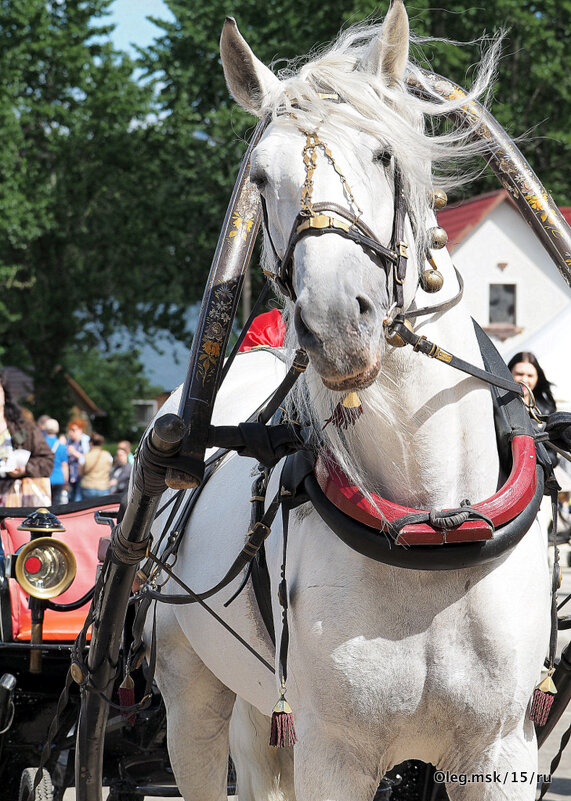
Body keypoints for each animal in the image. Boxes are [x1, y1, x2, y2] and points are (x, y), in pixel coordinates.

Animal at [145, 3, 552, 796]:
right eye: (259, 175)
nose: (335, 321)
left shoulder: (497, 750)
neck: (432, 519)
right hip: (192, 691)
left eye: (385, 156)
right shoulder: (332, 753)